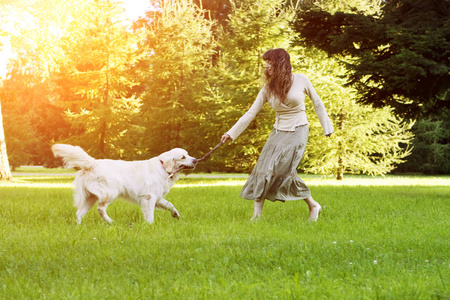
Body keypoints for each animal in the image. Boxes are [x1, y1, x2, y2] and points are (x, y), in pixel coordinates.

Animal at [51, 144, 197, 224]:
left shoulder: (157, 198)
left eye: (188, 154)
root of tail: (92, 163)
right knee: (100, 208)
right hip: (110, 192)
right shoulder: (148, 197)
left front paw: (176, 215)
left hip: (90, 197)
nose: (195, 160)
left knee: (79, 213)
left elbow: (170, 205)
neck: (163, 167)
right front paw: (150, 225)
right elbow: (149, 214)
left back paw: (79, 226)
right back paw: (110, 222)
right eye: (183, 157)